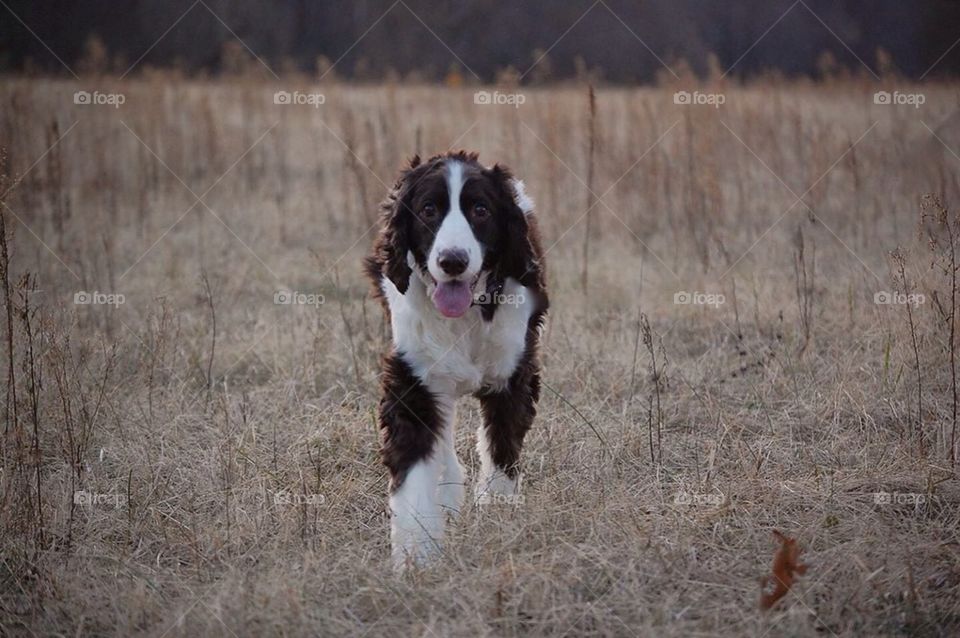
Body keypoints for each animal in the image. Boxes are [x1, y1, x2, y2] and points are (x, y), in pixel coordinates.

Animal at [364, 152, 548, 572]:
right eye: (428, 209)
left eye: (481, 210)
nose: (452, 261)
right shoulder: (411, 379)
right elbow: (414, 470)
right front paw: (416, 557)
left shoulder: (514, 373)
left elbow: (501, 448)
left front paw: (498, 516)